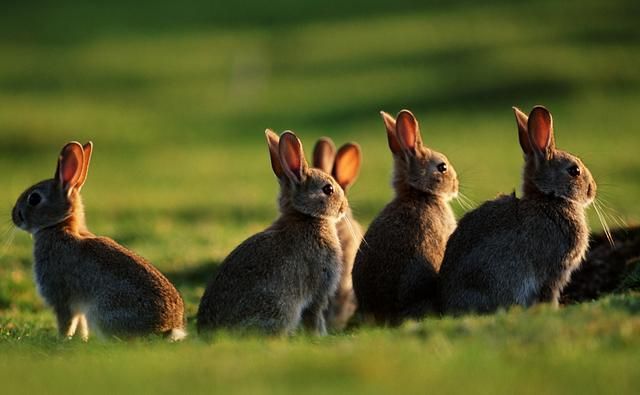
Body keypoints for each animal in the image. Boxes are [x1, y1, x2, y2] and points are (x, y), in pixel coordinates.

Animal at [10, 142, 185, 340]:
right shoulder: (77, 305)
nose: (14, 216)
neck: (59, 226)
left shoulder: (61, 297)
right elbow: (80, 324)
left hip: (103, 313)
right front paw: (80, 340)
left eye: (34, 198)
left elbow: (66, 322)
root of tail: (163, 330)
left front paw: (62, 340)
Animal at [196, 130, 350, 338]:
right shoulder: (318, 291)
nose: (344, 207)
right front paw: (320, 336)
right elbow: (315, 317)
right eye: (328, 189)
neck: (308, 217)